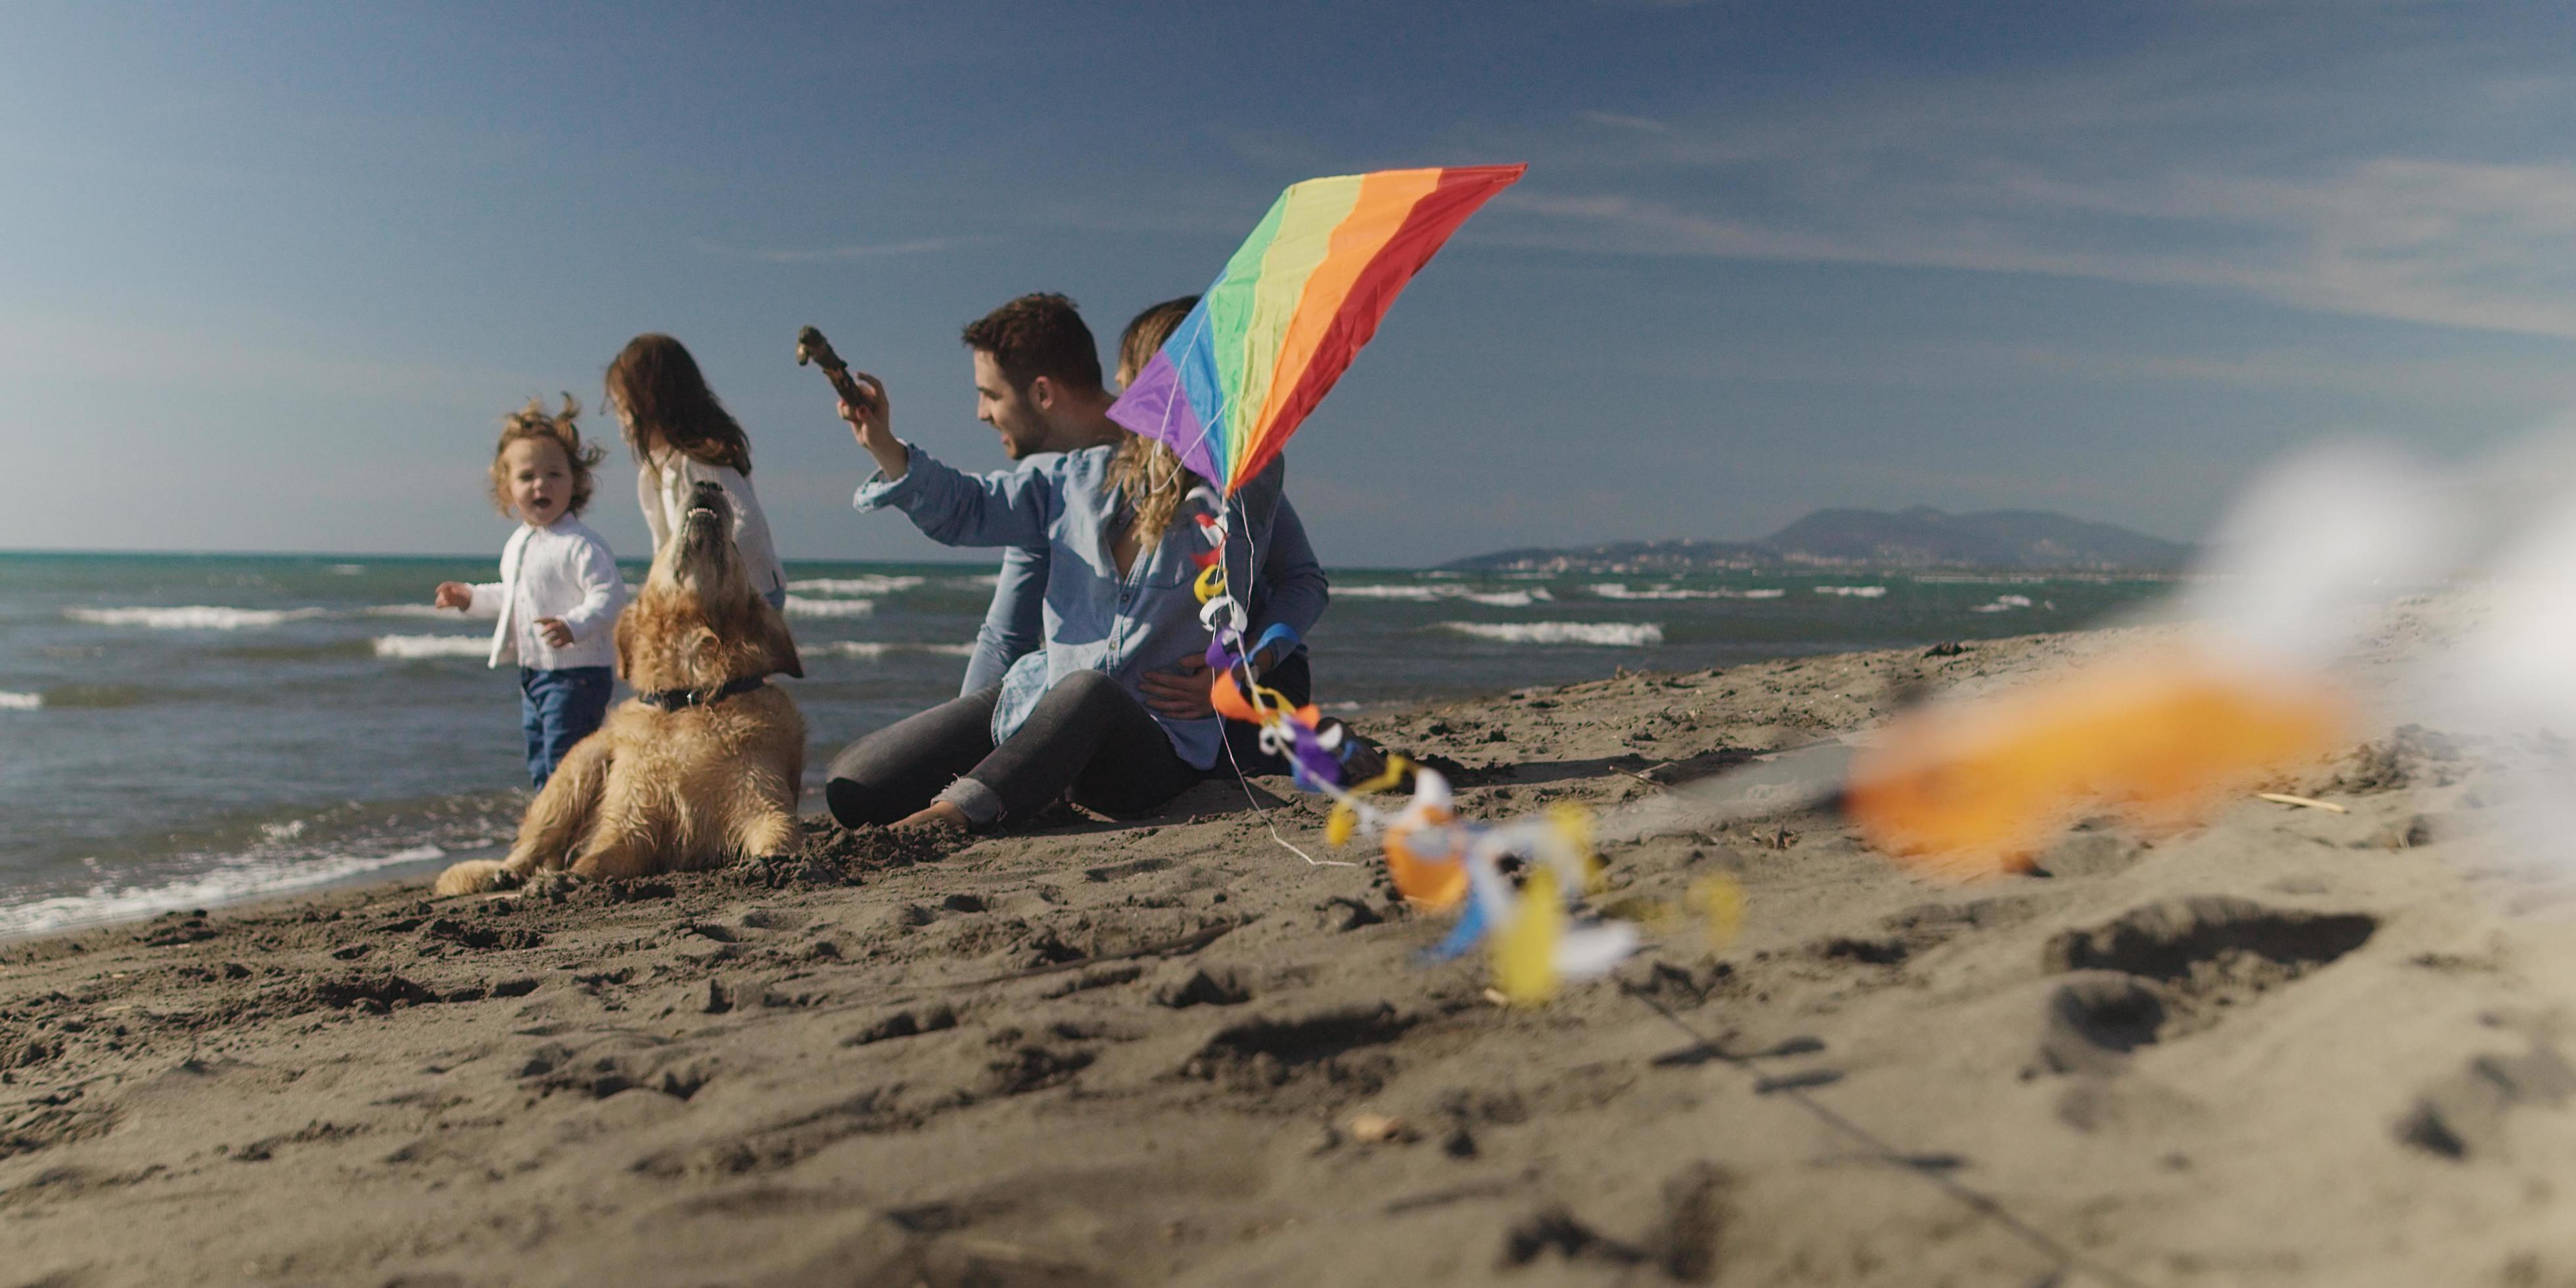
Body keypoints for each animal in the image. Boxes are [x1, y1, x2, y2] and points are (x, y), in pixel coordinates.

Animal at [435, 484, 804, 896]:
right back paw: (505, 874)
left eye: (737, 547)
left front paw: (772, 863)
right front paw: (565, 879)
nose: (708, 484)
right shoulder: (631, 821)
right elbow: (595, 857)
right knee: (529, 849)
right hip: (577, 770)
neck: (690, 694)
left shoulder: (762, 798)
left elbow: (779, 833)